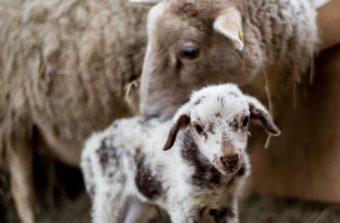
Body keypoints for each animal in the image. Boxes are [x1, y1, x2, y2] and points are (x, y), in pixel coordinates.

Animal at [80, 83, 282, 223]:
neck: (215, 182)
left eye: (245, 119)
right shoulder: (183, 208)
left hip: (141, 199)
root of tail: (96, 140)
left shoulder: (227, 204)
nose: (230, 159)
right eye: (198, 127)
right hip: (108, 194)